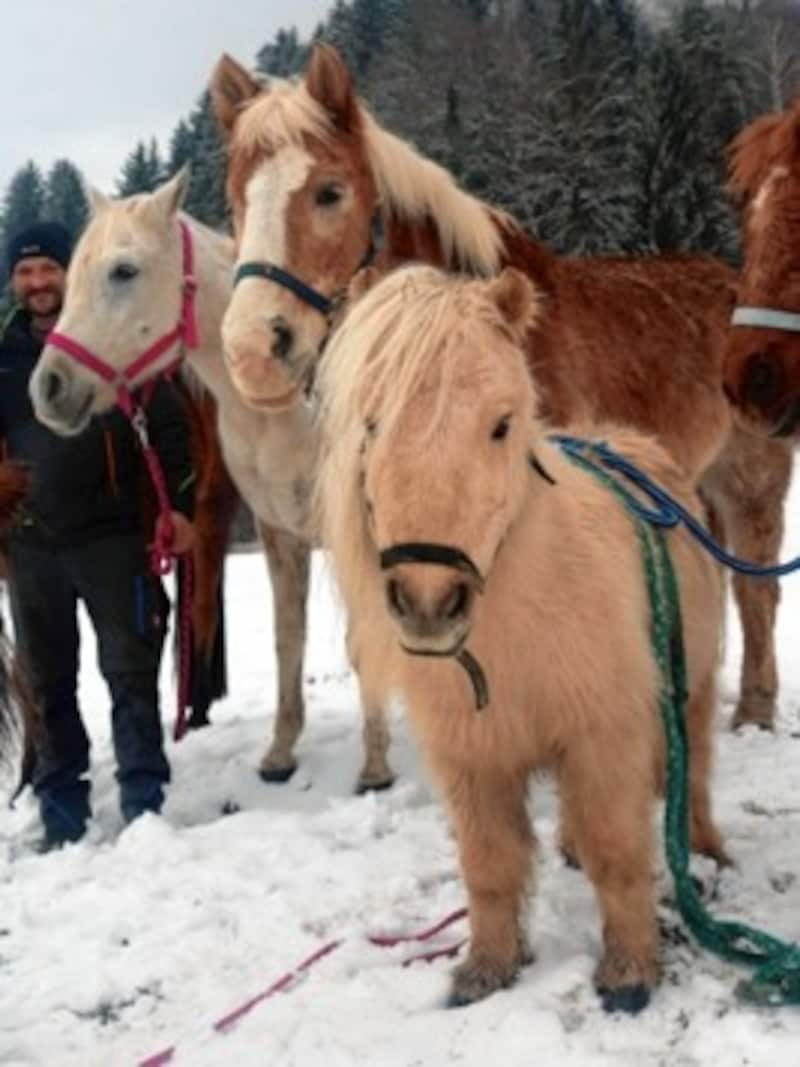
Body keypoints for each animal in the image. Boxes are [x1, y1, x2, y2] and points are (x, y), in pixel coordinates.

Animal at [27, 170, 394, 793]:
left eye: (124, 271)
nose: (48, 388)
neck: (285, 401)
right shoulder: (279, 532)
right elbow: (287, 638)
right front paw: (280, 752)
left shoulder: (353, 536)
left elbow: (362, 638)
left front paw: (375, 766)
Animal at [208, 45, 797, 738]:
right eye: (236, 200)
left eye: (329, 192)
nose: (253, 352)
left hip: (750, 483)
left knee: (756, 591)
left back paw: (754, 708)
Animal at [315, 262, 729, 1011]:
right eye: (372, 423)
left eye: (501, 425)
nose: (429, 602)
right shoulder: (472, 758)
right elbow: (490, 864)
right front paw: (487, 968)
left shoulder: (604, 734)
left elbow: (617, 849)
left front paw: (629, 971)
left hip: (695, 687)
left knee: (697, 769)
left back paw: (706, 848)